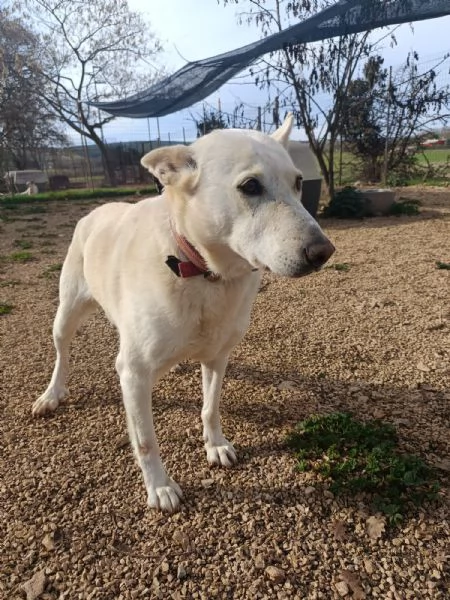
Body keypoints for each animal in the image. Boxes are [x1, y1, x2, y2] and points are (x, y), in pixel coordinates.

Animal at [32, 116, 334, 510]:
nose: (324, 252)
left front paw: (215, 446)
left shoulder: (218, 356)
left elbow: (210, 407)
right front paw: (159, 487)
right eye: (250, 186)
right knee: (62, 355)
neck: (201, 270)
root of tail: (98, 209)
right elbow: (146, 441)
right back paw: (52, 394)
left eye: (298, 183)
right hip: (65, 315)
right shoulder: (133, 373)